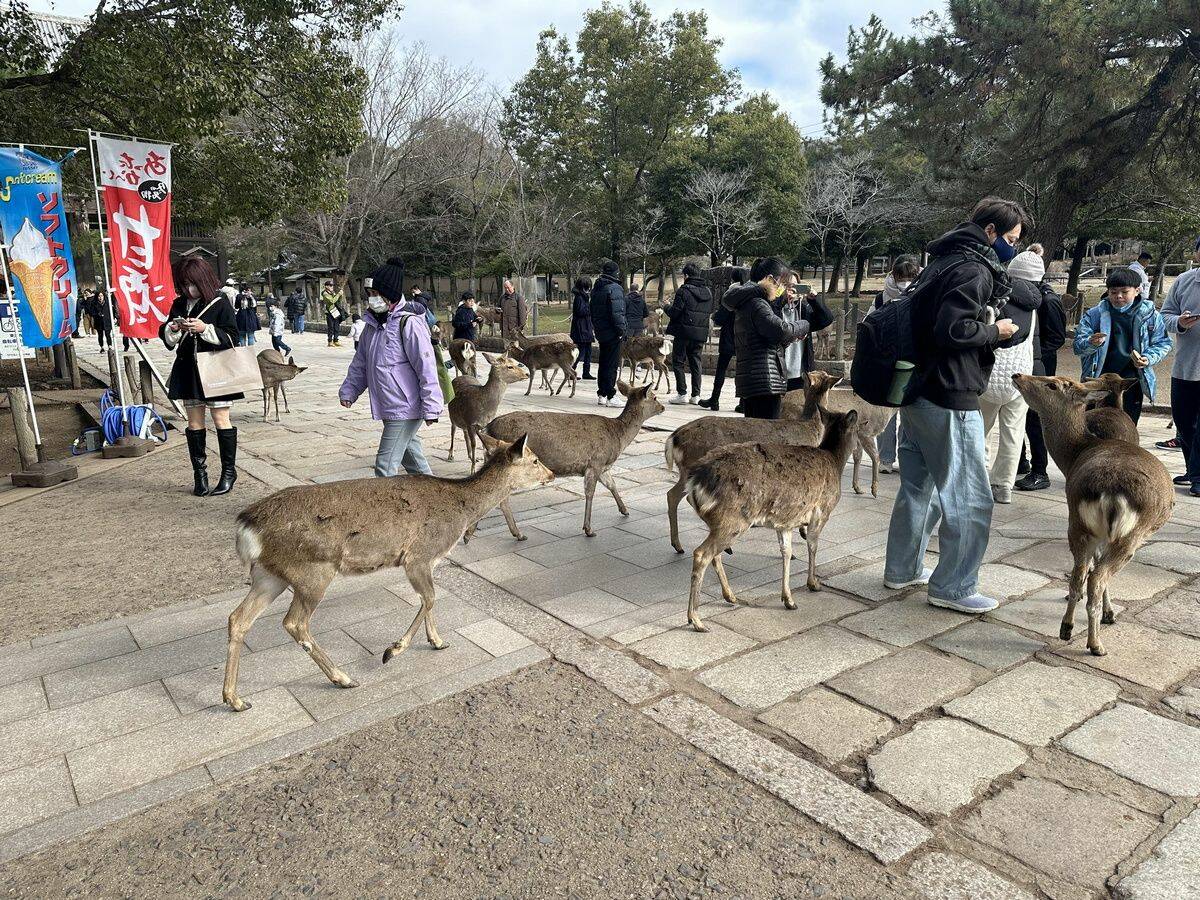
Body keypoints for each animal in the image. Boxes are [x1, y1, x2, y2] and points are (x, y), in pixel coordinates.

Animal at [224, 434, 552, 715]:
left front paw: (438, 641)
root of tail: (247, 526)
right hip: (312, 570)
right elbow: (430, 598)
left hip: (269, 574)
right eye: (534, 459)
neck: (460, 512)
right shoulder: (418, 555)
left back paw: (235, 699)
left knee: (238, 618)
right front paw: (393, 650)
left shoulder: (428, 561)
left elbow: (429, 600)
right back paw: (343, 678)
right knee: (294, 623)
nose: (551, 475)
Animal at [477, 379, 667, 540]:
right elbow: (590, 493)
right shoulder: (595, 462)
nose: (663, 407)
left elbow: (612, 485)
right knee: (501, 498)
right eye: (655, 397)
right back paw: (517, 533)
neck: (619, 437)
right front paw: (589, 529)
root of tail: (488, 428)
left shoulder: (604, 467)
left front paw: (625, 510)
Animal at [662, 367, 840, 554]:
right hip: (694, 467)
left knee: (672, 494)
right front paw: (803, 532)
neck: (812, 429)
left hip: (686, 471)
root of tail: (673, 439)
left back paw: (679, 545)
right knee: (683, 497)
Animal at [686, 410, 864, 628]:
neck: (835, 460)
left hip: (717, 523)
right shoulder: (822, 511)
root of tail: (695, 482)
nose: (859, 446)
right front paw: (813, 584)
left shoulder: (785, 522)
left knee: (715, 554)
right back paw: (696, 619)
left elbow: (786, 552)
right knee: (701, 554)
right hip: (733, 520)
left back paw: (730, 596)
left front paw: (789, 600)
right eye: (857, 429)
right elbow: (813, 546)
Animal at [1012, 372, 1171, 657]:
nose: (1017, 374)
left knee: (1079, 575)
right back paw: (1096, 644)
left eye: (1052, 383)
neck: (1075, 453)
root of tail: (1111, 494)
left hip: (1077, 522)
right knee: (1096, 576)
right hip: (1131, 535)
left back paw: (1066, 628)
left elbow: (1085, 570)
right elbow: (1096, 571)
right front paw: (1110, 614)